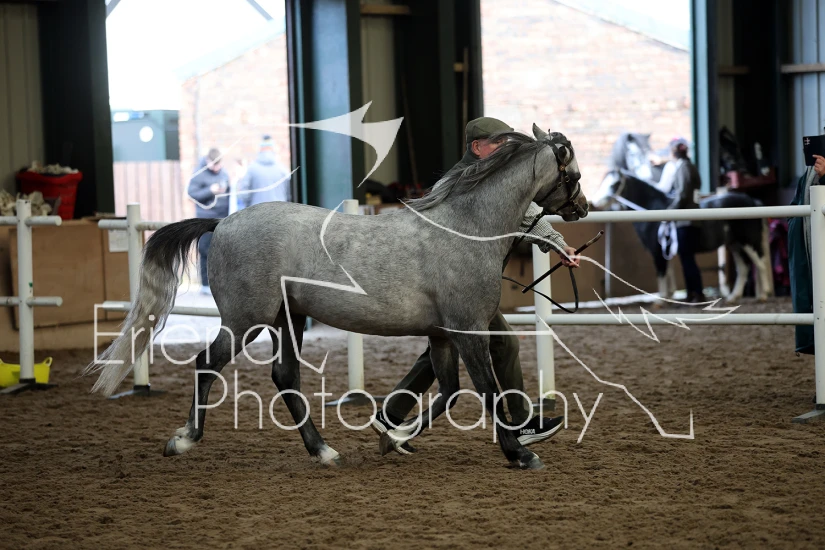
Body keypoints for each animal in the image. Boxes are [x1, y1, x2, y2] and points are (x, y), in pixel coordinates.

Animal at [87, 124, 589, 470]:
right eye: (573, 171)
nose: (582, 208)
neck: (465, 229)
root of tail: (223, 221)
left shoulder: (442, 335)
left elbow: (448, 393)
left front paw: (394, 437)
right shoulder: (468, 331)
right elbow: (486, 391)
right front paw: (520, 453)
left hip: (288, 319)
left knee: (284, 375)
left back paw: (324, 450)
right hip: (247, 319)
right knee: (207, 364)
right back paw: (184, 439)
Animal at [591, 167, 770, 302]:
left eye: (614, 184)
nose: (596, 203)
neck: (653, 209)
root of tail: (753, 201)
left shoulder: (657, 252)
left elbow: (661, 273)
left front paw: (660, 300)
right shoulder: (664, 249)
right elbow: (669, 272)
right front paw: (669, 296)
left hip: (748, 242)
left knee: (760, 264)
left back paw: (764, 294)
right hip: (735, 244)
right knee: (744, 268)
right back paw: (734, 297)